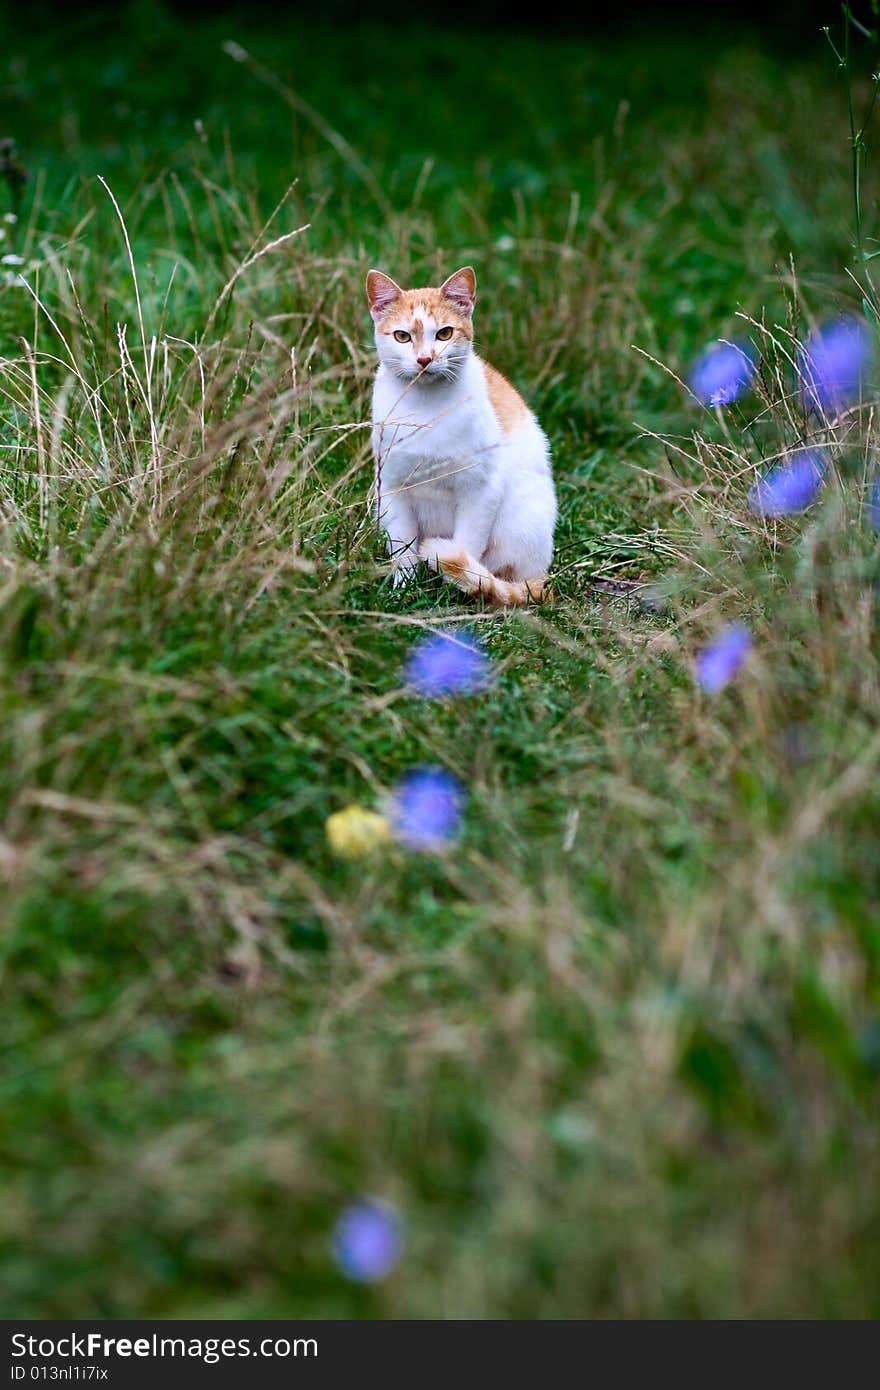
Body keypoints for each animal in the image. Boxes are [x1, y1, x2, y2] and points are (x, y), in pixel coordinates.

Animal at [364, 265, 556, 603]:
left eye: (444, 333)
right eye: (402, 336)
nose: (424, 359)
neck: (426, 408)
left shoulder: (481, 490)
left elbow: (465, 547)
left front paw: (456, 588)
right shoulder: (392, 487)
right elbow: (403, 549)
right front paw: (403, 591)